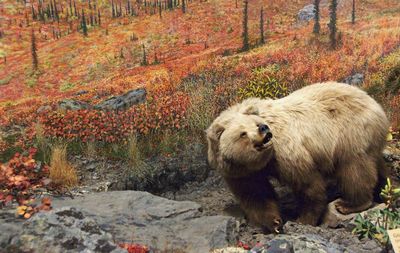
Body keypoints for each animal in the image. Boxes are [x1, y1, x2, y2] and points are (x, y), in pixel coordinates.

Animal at [208, 81, 390, 233]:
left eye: (256, 122)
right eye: (242, 133)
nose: (263, 128)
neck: (260, 162)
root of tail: (374, 103)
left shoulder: (283, 150)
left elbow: (307, 183)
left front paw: (303, 219)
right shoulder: (239, 172)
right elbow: (255, 193)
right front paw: (274, 222)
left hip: (350, 133)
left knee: (354, 169)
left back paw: (349, 203)